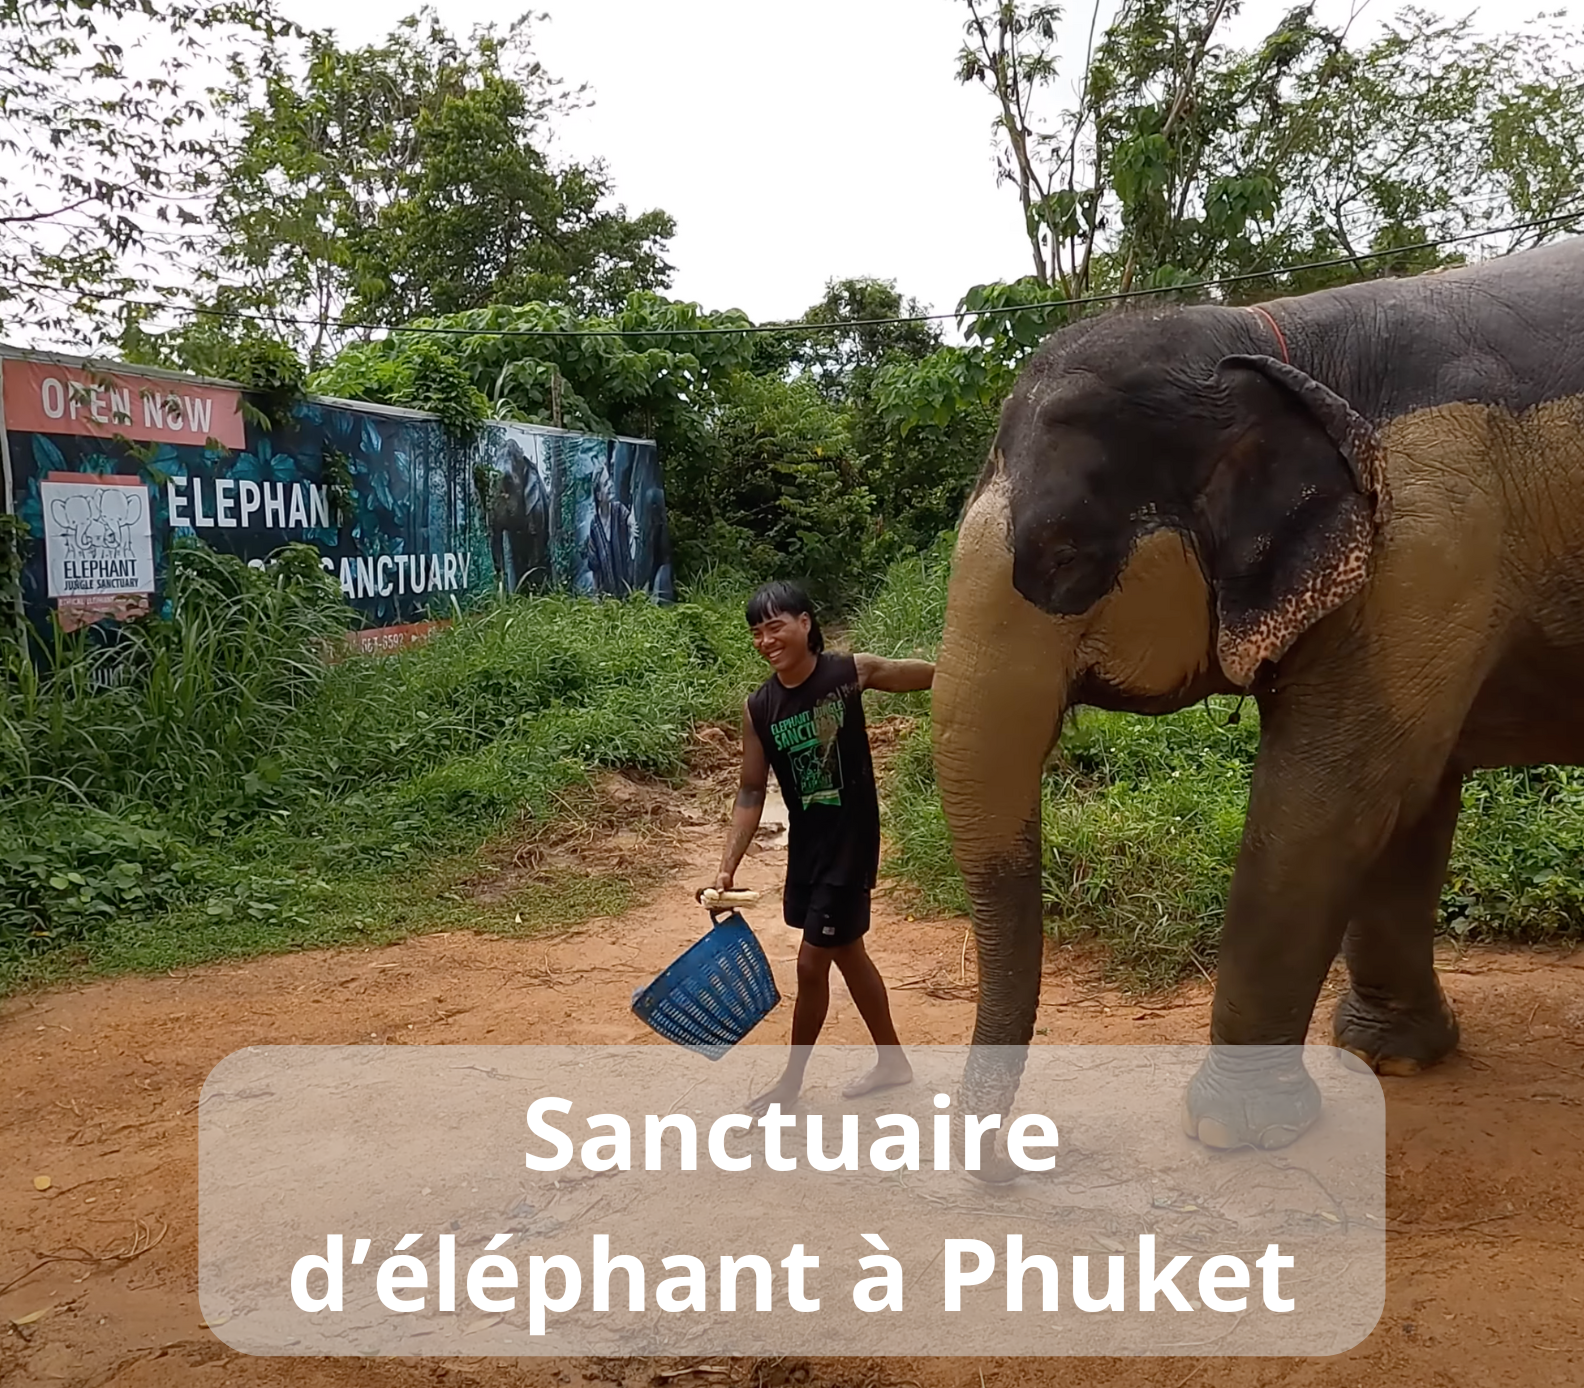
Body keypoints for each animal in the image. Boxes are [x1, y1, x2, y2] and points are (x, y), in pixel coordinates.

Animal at [925, 236, 1584, 1159]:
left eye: (1061, 555)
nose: (1008, 1167)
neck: (1274, 339)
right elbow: (1412, 799)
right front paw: (1387, 1060)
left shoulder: (1434, 536)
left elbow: (1331, 797)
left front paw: (1234, 1131)